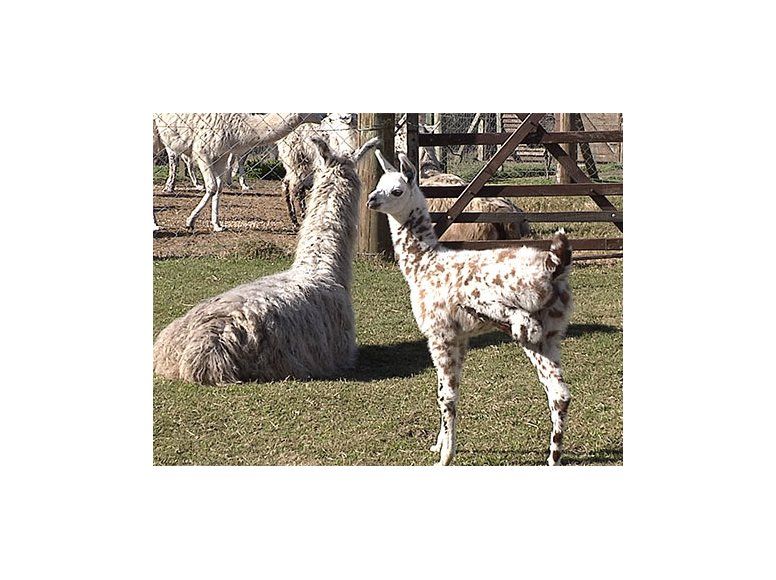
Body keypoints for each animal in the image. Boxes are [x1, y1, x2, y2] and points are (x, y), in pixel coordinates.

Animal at [153, 113, 326, 231]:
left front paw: (217, 225)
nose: (324, 116)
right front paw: (190, 222)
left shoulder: (220, 155)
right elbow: (212, 187)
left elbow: (219, 188)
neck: (237, 127)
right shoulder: (203, 151)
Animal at [366, 150, 573, 466]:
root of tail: (553, 267)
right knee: (559, 393)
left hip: (517, 314)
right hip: (550, 335)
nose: (371, 200)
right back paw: (553, 457)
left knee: (521, 326)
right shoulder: (460, 338)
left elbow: (447, 396)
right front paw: (439, 445)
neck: (423, 267)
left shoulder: (440, 334)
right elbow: (446, 389)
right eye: (378, 184)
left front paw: (445, 455)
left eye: (397, 190)